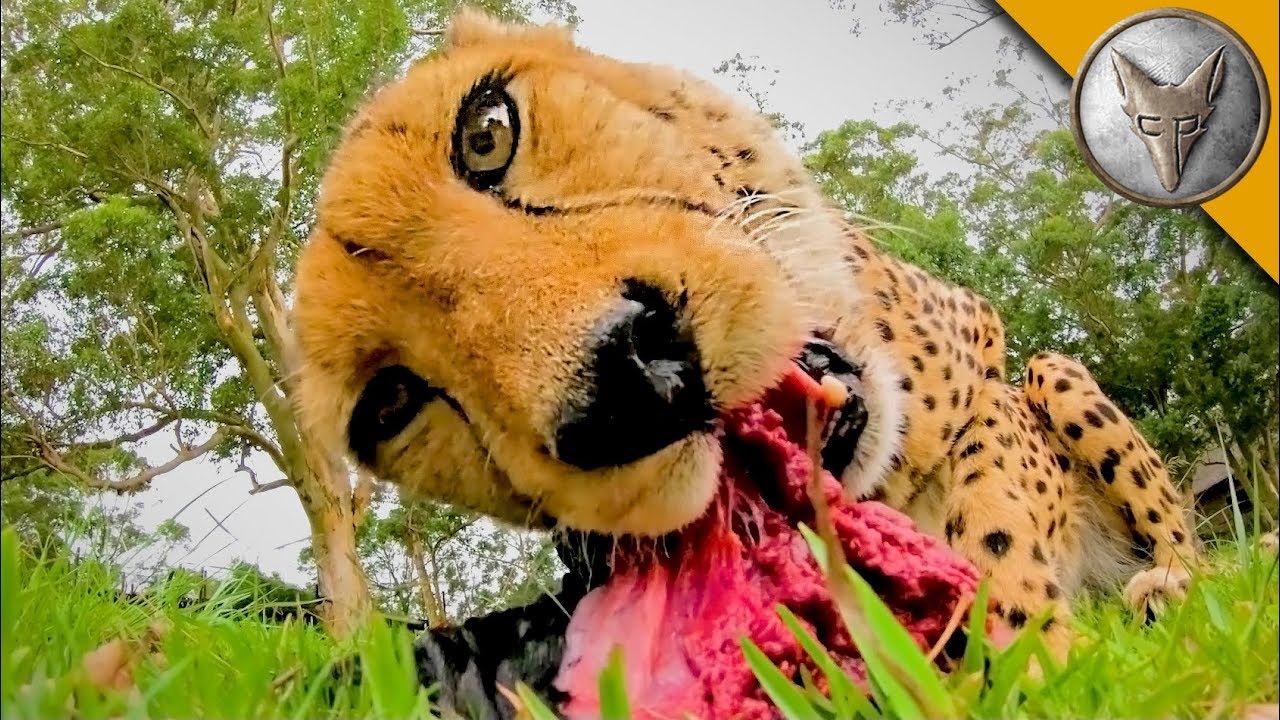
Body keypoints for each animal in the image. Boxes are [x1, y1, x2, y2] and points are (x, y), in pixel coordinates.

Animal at [288, 8, 1199, 711]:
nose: (628, 388)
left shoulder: (987, 353)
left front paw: (1016, 646)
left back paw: (1169, 585)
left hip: (1056, 372)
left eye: (486, 132)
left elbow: (997, 505)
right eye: (390, 404)